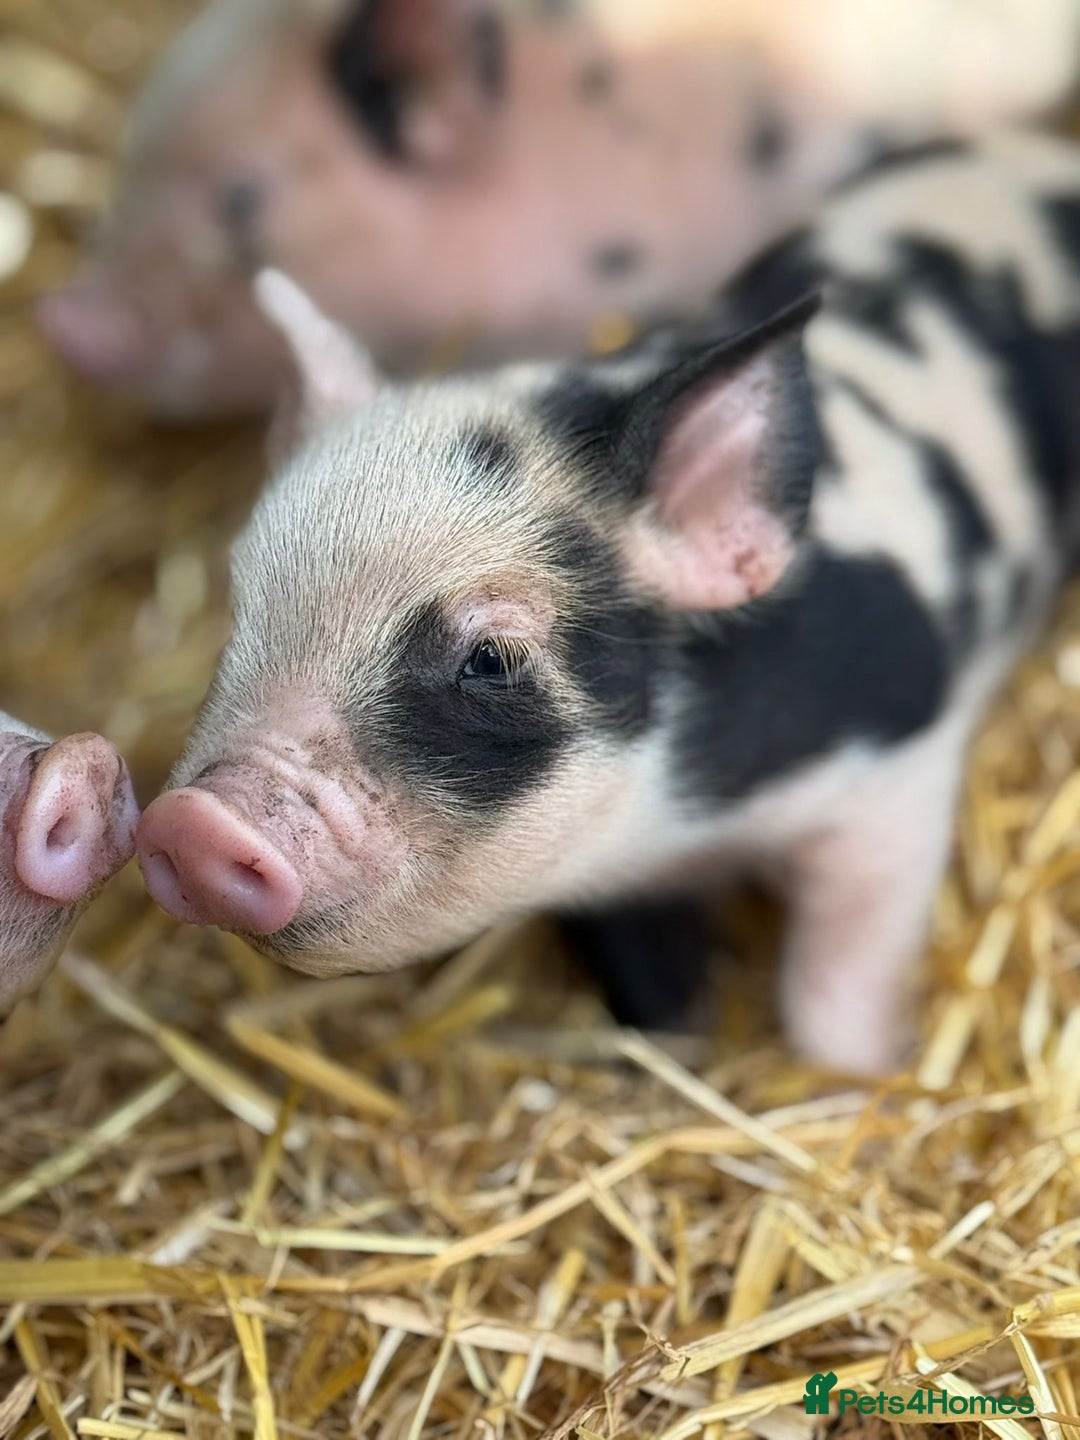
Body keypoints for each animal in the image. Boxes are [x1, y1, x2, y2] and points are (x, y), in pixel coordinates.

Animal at [136, 133, 1080, 1074]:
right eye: (242, 607)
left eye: (490, 659)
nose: (190, 823)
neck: (688, 825)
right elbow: (652, 996)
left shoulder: (897, 771)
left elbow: (834, 990)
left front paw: (863, 1074)